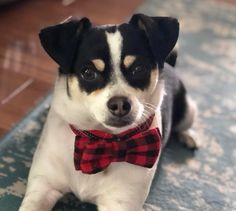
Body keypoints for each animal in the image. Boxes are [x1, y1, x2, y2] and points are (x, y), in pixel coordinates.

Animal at [19, 13, 197, 211]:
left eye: (139, 69)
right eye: (88, 73)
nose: (119, 104)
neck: (100, 142)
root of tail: (169, 62)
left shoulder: (120, 203)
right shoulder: (43, 186)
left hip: (188, 112)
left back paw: (188, 136)